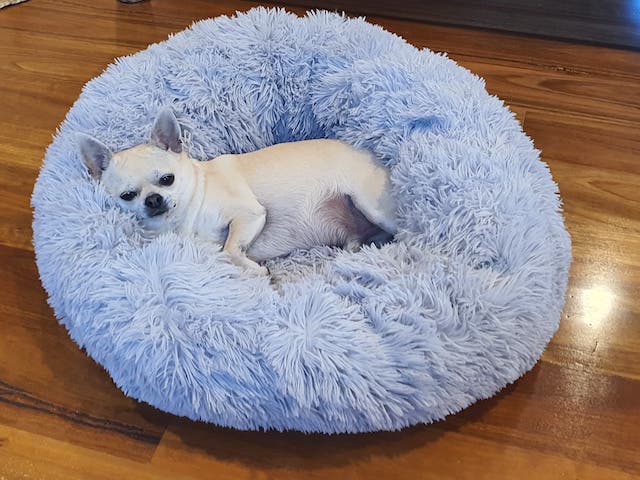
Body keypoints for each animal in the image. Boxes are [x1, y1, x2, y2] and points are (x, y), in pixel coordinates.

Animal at [78, 109, 398, 274]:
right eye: (127, 196)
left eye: (167, 179)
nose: (153, 199)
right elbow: (225, 252)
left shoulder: (250, 214)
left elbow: (230, 248)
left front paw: (255, 270)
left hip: (371, 204)